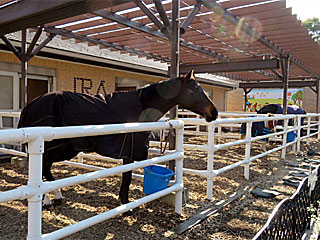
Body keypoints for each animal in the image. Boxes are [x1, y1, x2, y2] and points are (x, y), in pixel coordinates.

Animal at [17, 69, 218, 204]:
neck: (140, 106)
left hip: (64, 148)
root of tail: (32, 104)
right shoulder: (129, 153)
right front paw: (125, 203)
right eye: (194, 90)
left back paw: (56, 196)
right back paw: (48, 199)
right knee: (43, 168)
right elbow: (127, 178)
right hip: (54, 146)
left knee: (46, 168)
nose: (214, 112)